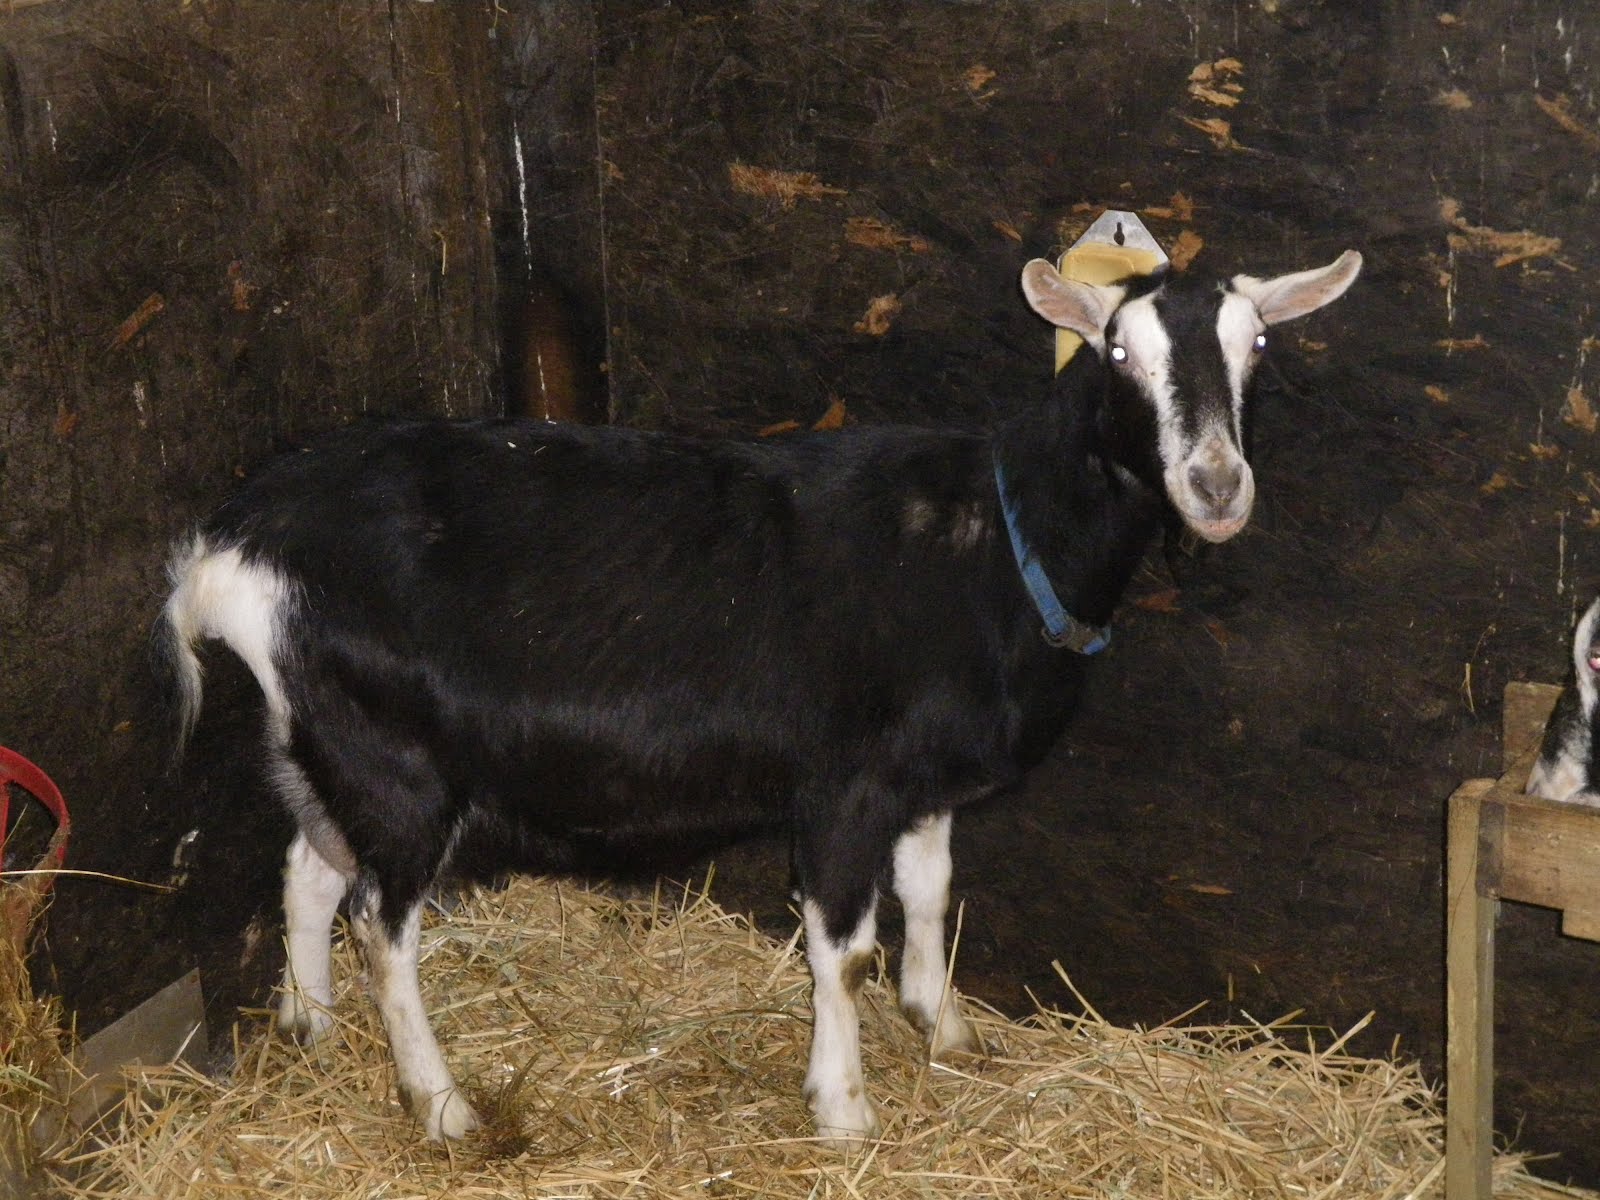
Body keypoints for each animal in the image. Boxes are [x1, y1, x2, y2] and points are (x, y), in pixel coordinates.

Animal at [159, 247, 1361, 1144]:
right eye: (1116, 349)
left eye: (1257, 344)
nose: (1216, 484)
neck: (999, 539)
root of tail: (231, 548)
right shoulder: (843, 782)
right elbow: (844, 943)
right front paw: (844, 1108)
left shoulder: (924, 779)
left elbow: (930, 892)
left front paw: (944, 1027)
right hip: (395, 758)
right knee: (379, 919)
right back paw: (442, 1105)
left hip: (331, 738)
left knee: (309, 869)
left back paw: (314, 1031)